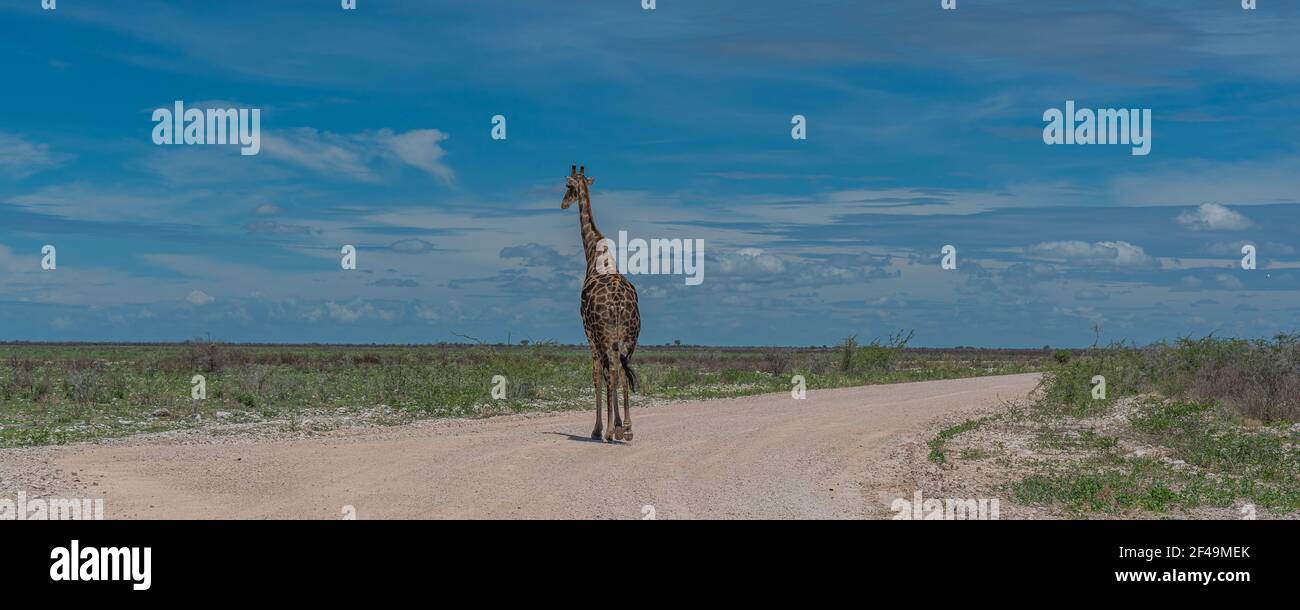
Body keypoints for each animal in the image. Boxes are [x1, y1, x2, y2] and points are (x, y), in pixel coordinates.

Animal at [561, 165, 641, 442]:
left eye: (568, 187)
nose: (563, 203)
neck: (594, 252)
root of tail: (617, 303)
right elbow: (613, 375)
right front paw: (618, 425)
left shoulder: (588, 332)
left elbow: (597, 375)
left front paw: (599, 429)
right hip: (629, 336)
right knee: (623, 371)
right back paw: (627, 428)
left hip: (605, 335)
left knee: (613, 372)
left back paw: (609, 431)